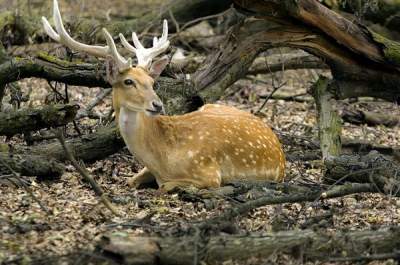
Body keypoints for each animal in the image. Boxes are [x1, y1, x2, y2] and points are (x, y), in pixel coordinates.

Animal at [42, 0, 286, 191]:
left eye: (152, 82)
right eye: (128, 81)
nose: (157, 105)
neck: (162, 158)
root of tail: (282, 157)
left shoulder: (209, 173)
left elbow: (165, 186)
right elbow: (131, 180)